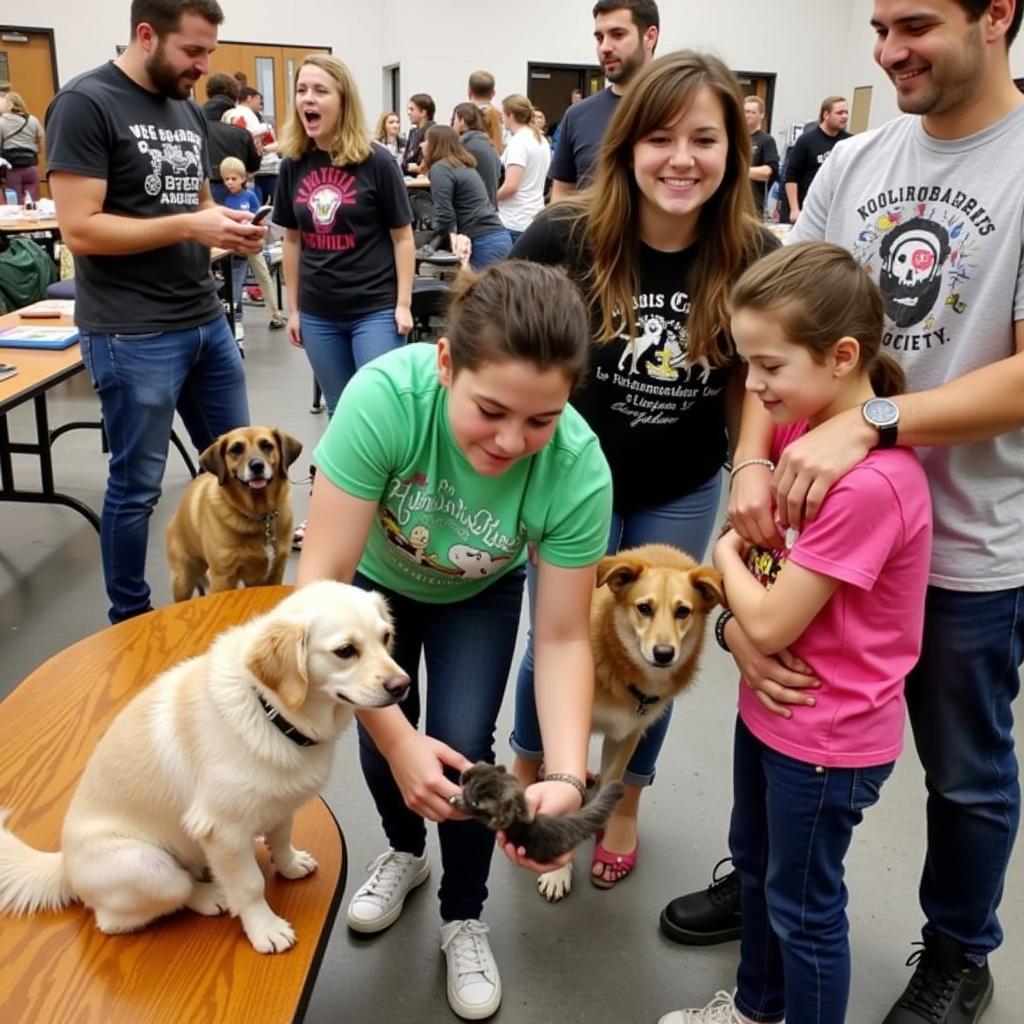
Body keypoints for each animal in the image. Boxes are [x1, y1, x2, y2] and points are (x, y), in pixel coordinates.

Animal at [0, 581, 409, 954]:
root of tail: (64, 867)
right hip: (152, 867)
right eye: (345, 651)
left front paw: (290, 865)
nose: (402, 685)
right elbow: (251, 885)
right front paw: (265, 929)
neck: (269, 710)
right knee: (127, 914)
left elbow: (281, 839)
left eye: (386, 636)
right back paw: (210, 895)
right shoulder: (223, 831)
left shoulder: (280, 804)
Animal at [165, 425, 301, 598]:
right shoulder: (222, 577)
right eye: (236, 449)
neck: (260, 516)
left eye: (267, 446)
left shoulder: (275, 570)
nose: (257, 465)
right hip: (183, 580)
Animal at [540, 540, 724, 901]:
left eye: (683, 611)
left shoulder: (628, 735)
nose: (664, 653)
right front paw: (557, 870)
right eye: (644, 608)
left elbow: (615, 779)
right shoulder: (573, 723)